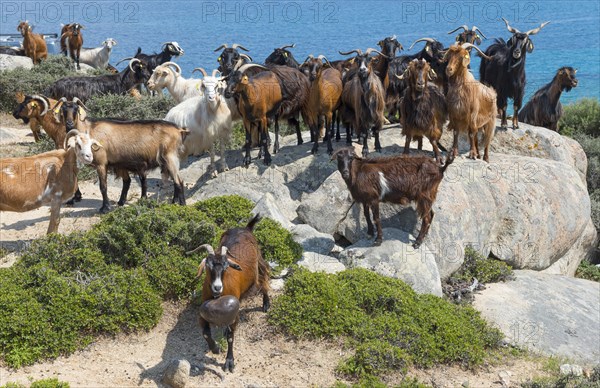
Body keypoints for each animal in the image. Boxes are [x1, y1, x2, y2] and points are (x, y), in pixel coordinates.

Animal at [56, 97, 188, 212]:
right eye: (63, 109)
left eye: (76, 108)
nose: (69, 123)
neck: (89, 130)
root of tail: (179, 130)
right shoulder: (119, 164)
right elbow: (126, 182)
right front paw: (118, 203)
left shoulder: (101, 164)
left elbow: (103, 186)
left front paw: (105, 208)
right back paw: (173, 202)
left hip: (170, 157)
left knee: (179, 180)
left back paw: (182, 204)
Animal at [191, 212, 270, 372]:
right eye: (208, 266)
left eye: (226, 266)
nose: (217, 287)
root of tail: (246, 228)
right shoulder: (202, 312)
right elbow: (205, 333)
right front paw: (215, 348)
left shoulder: (235, 314)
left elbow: (231, 337)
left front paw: (229, 361)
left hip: (259, 263)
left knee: (264, 278)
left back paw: (266, 304)